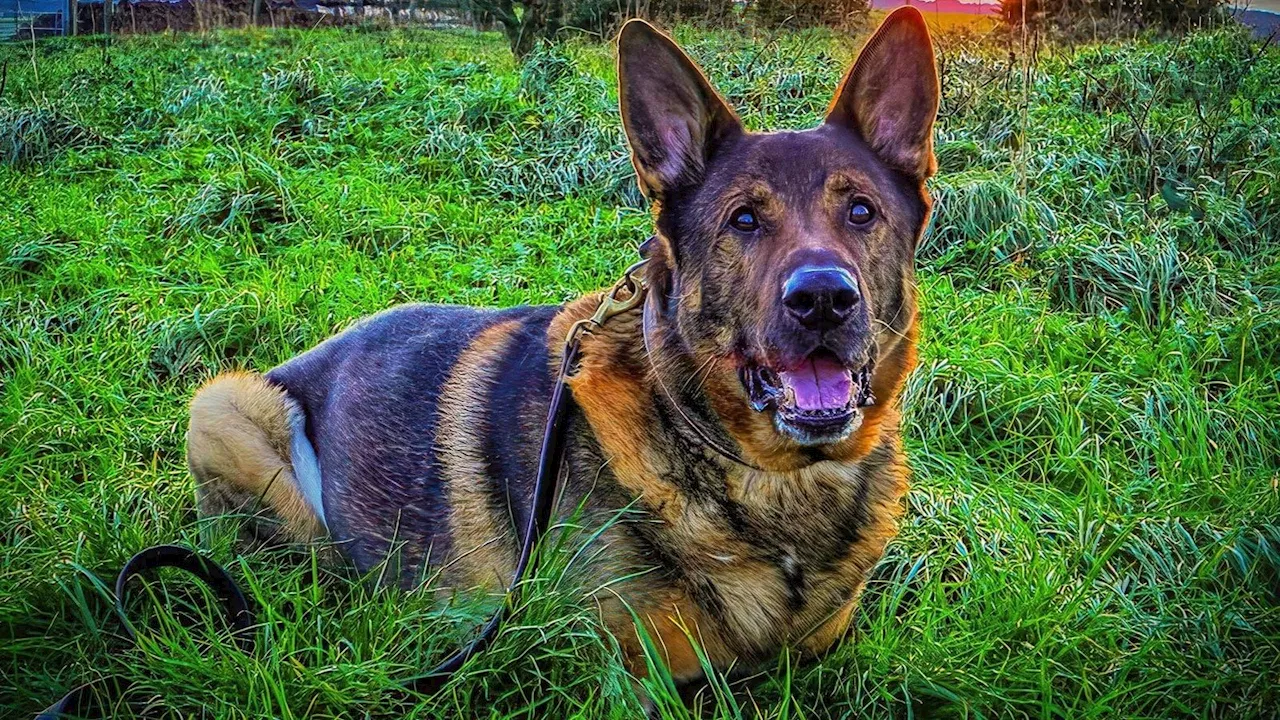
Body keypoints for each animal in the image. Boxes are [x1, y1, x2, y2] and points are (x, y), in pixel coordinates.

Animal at [185, 8, 936, 686]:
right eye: (744, 220)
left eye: (861, 211)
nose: (824, 300)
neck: (767, 477)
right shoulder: (620, 671)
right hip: (228, 406)